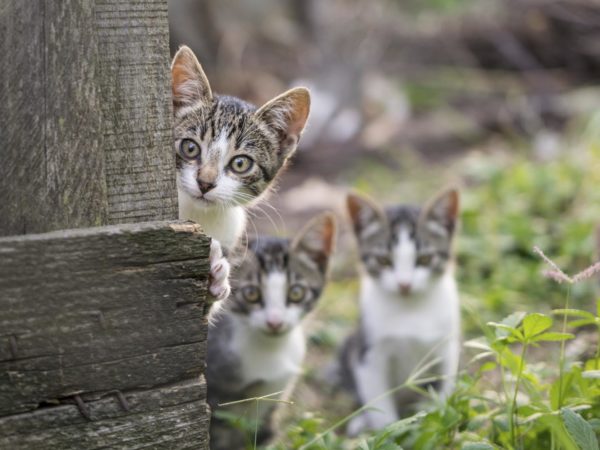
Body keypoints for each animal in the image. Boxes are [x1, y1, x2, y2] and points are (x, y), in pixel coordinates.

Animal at [206, 213, 338, 448]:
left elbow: (263, 436)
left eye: (296, 292)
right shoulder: (216, 400)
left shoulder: (273, 400)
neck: (270, 349)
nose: (275, 322)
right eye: (251, 294)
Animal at [340, 187, 462, 436]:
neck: (410, 309)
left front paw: (442, 415)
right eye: (383, 260)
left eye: (425, 258)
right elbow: (379, 403)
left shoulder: (447, 346)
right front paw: (387, 431)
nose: (404, 284)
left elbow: (446, 384)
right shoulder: (368, 354)